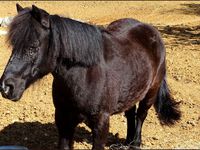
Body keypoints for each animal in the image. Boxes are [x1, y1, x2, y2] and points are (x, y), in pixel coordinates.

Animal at [0, 4, 181, 149]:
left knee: (141, 115)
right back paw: (127, 142)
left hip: (151, 91)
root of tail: (151, 31)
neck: (84, 76)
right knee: (130, 114)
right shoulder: (63, 121)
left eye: (33, 47)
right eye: (14, 46)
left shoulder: (101, 124)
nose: (6, 87)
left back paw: (135, 143)